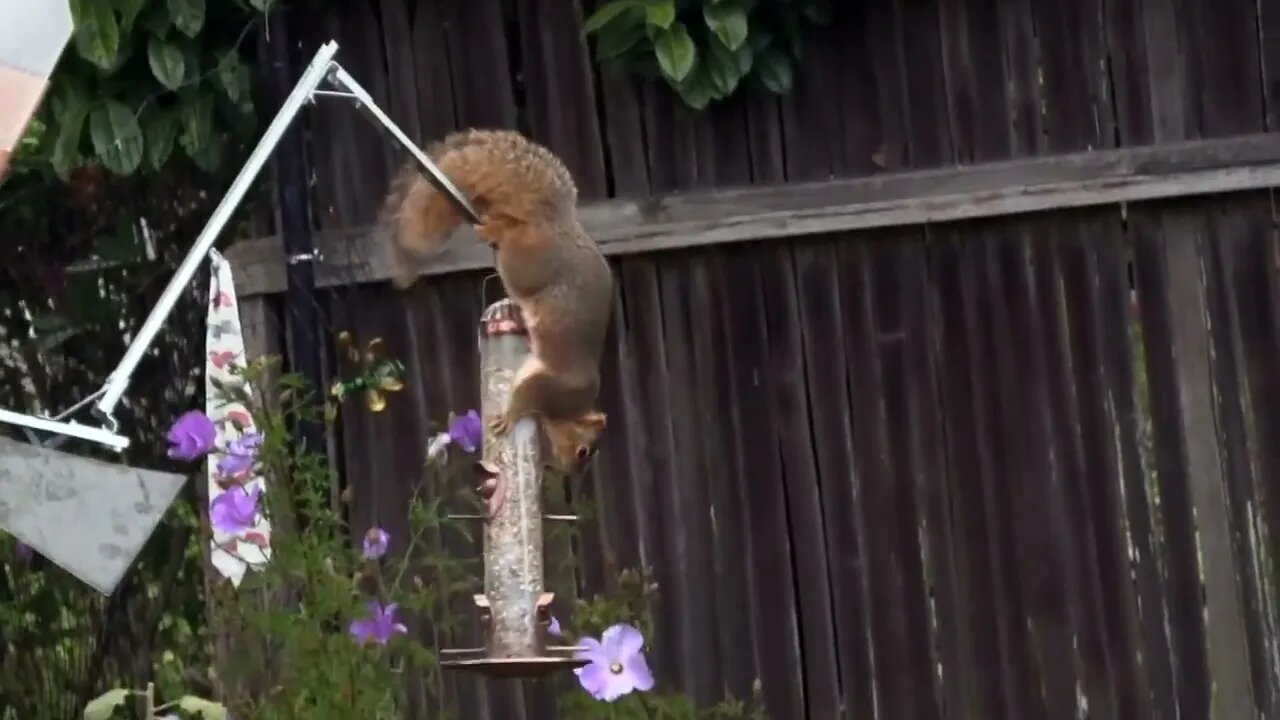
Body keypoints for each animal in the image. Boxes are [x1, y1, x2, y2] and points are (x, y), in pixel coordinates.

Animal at [378, 128, 614, 476]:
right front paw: (509, 417)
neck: (573, 405)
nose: (568, 471)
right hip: (527, 262)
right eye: (583, 451)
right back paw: (497, 228)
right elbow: (527, 396)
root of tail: (555, 224)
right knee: (513, 241)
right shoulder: (551, 385)